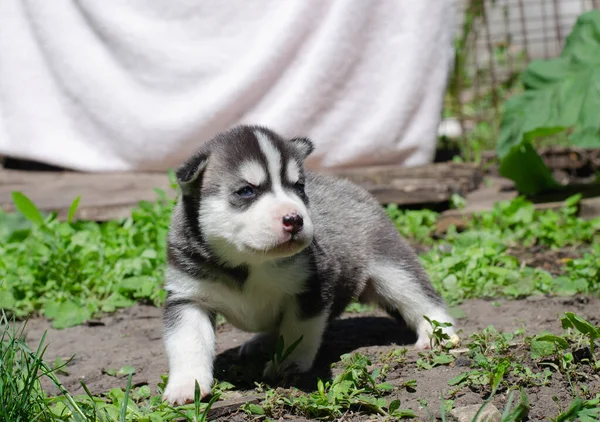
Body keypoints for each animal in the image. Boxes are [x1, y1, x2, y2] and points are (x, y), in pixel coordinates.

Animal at [162, 123, 458, 404]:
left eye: (298, 187)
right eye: (246, 191)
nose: (294, 219)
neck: (249, 263)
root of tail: (345, 184)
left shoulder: (313, 285)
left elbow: (297, 332)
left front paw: (288, 364)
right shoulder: (187, 298)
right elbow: (187, 342)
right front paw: (186, 385)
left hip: (392, 269)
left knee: (421, 297)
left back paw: (438, 332)